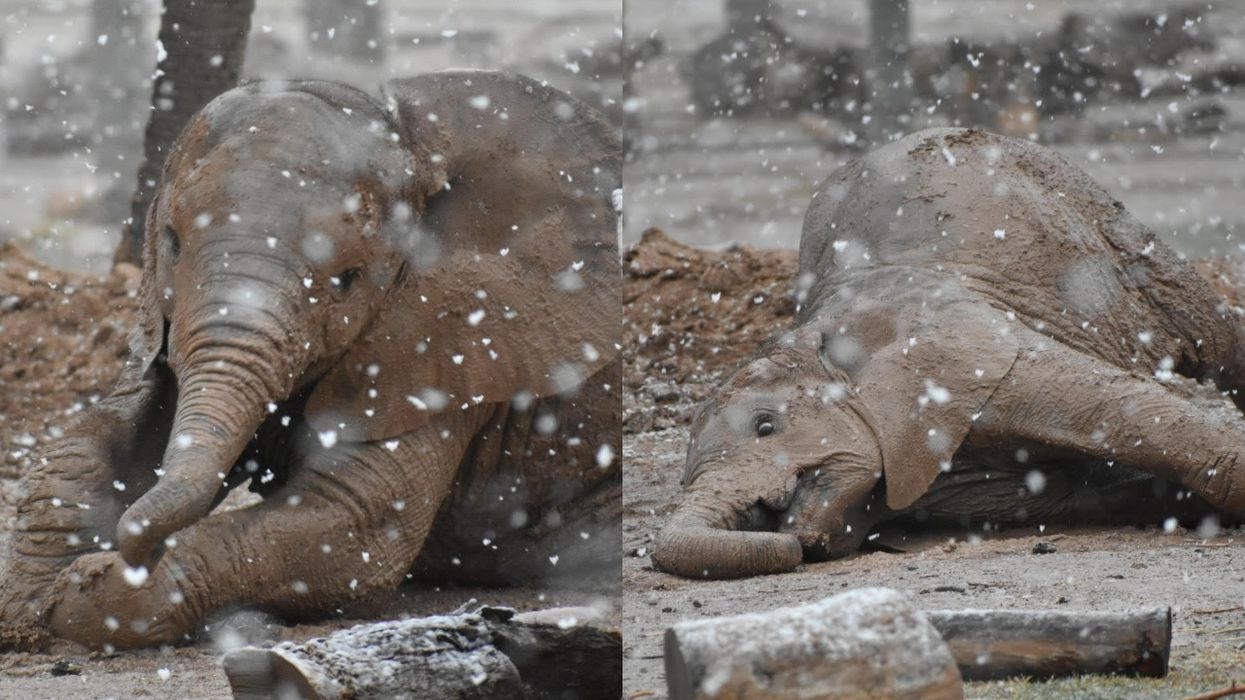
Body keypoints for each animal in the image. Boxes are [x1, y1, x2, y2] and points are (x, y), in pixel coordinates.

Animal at [0, 71, 621, 648]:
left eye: (348, 279)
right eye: (172, 242)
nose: (134, 552)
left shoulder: (457, 341)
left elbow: (354, 521)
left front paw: (95, 594)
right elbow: (104, 436)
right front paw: (35, 600)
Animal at [652, 127, 1245, 579]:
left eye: (765, 426)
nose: (781, 534)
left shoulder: (967, 353)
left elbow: (1131, 414)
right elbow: (1086, 490)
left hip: (1104, 221)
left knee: (1210, 331)